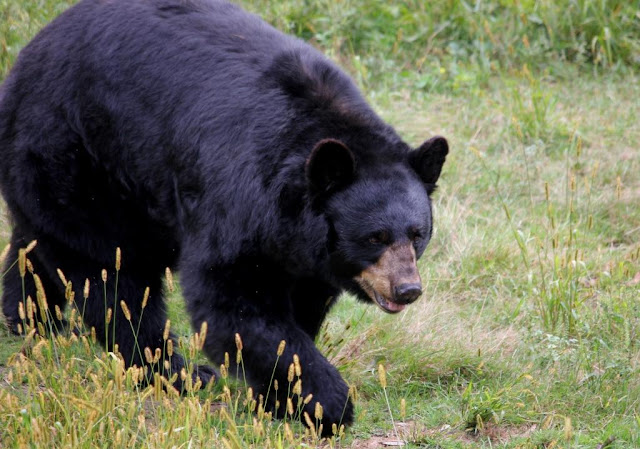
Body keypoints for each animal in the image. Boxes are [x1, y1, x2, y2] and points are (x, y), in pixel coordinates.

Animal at [0, 0, 448, 434]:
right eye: (375, 237)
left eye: (417, 234)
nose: (407, 289)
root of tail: (27, 57)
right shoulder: (239, 196)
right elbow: (235, 300)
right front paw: (329, 403)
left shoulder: (306, 255)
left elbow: (301, 303)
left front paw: (282, 398)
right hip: (84, 161)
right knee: (112, 275)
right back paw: (176, 370)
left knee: (40, 244)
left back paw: (28, 316)